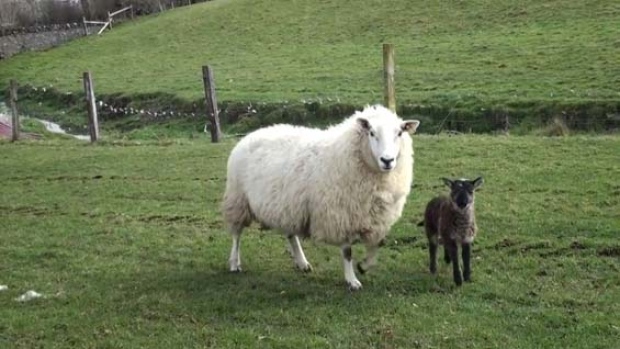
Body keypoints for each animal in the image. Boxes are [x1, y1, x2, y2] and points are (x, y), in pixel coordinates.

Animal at [220, 104, 418, 290]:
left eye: (400, 133)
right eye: (371, 132)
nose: (387, 160)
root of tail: (250, 135)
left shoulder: (373, 219)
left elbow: (377, 244)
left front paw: (364, 266)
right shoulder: (341, 214)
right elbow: (347, 253)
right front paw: (352, 280)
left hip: (287, 205)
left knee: (290, 234)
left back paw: (302, 262)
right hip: (238, 199)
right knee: (236, 234)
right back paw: (234, 263)